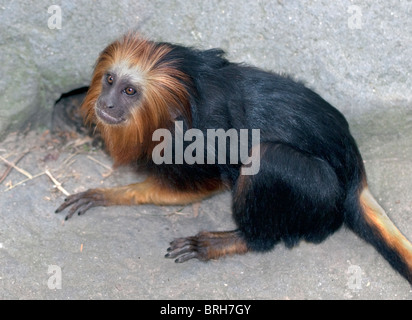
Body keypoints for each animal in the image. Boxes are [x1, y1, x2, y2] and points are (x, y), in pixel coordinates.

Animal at [56, 33, 412, 284]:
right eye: (110, 80)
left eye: (129, 92)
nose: (106, 103)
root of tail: (354, 172)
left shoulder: (195, 142)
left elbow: (197, 187)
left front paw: (111, 194)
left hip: (322, 199)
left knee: (267, 160)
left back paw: (237, 241)